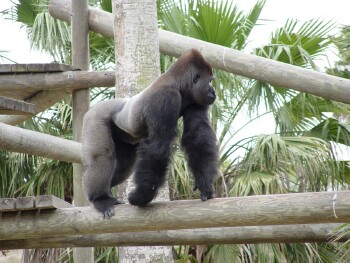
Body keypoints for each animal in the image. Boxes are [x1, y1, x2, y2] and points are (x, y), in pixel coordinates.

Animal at [81, 49, 219, 219]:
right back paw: (100, 198)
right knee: (102, 157)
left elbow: (198, 138)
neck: (178, 84)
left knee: (124, 166)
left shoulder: (196, 100)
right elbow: (157, 147)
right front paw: (143, 196)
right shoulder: (165, 99)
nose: (213, 91)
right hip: (95, 116)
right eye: (210, 81)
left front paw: (204, 184)